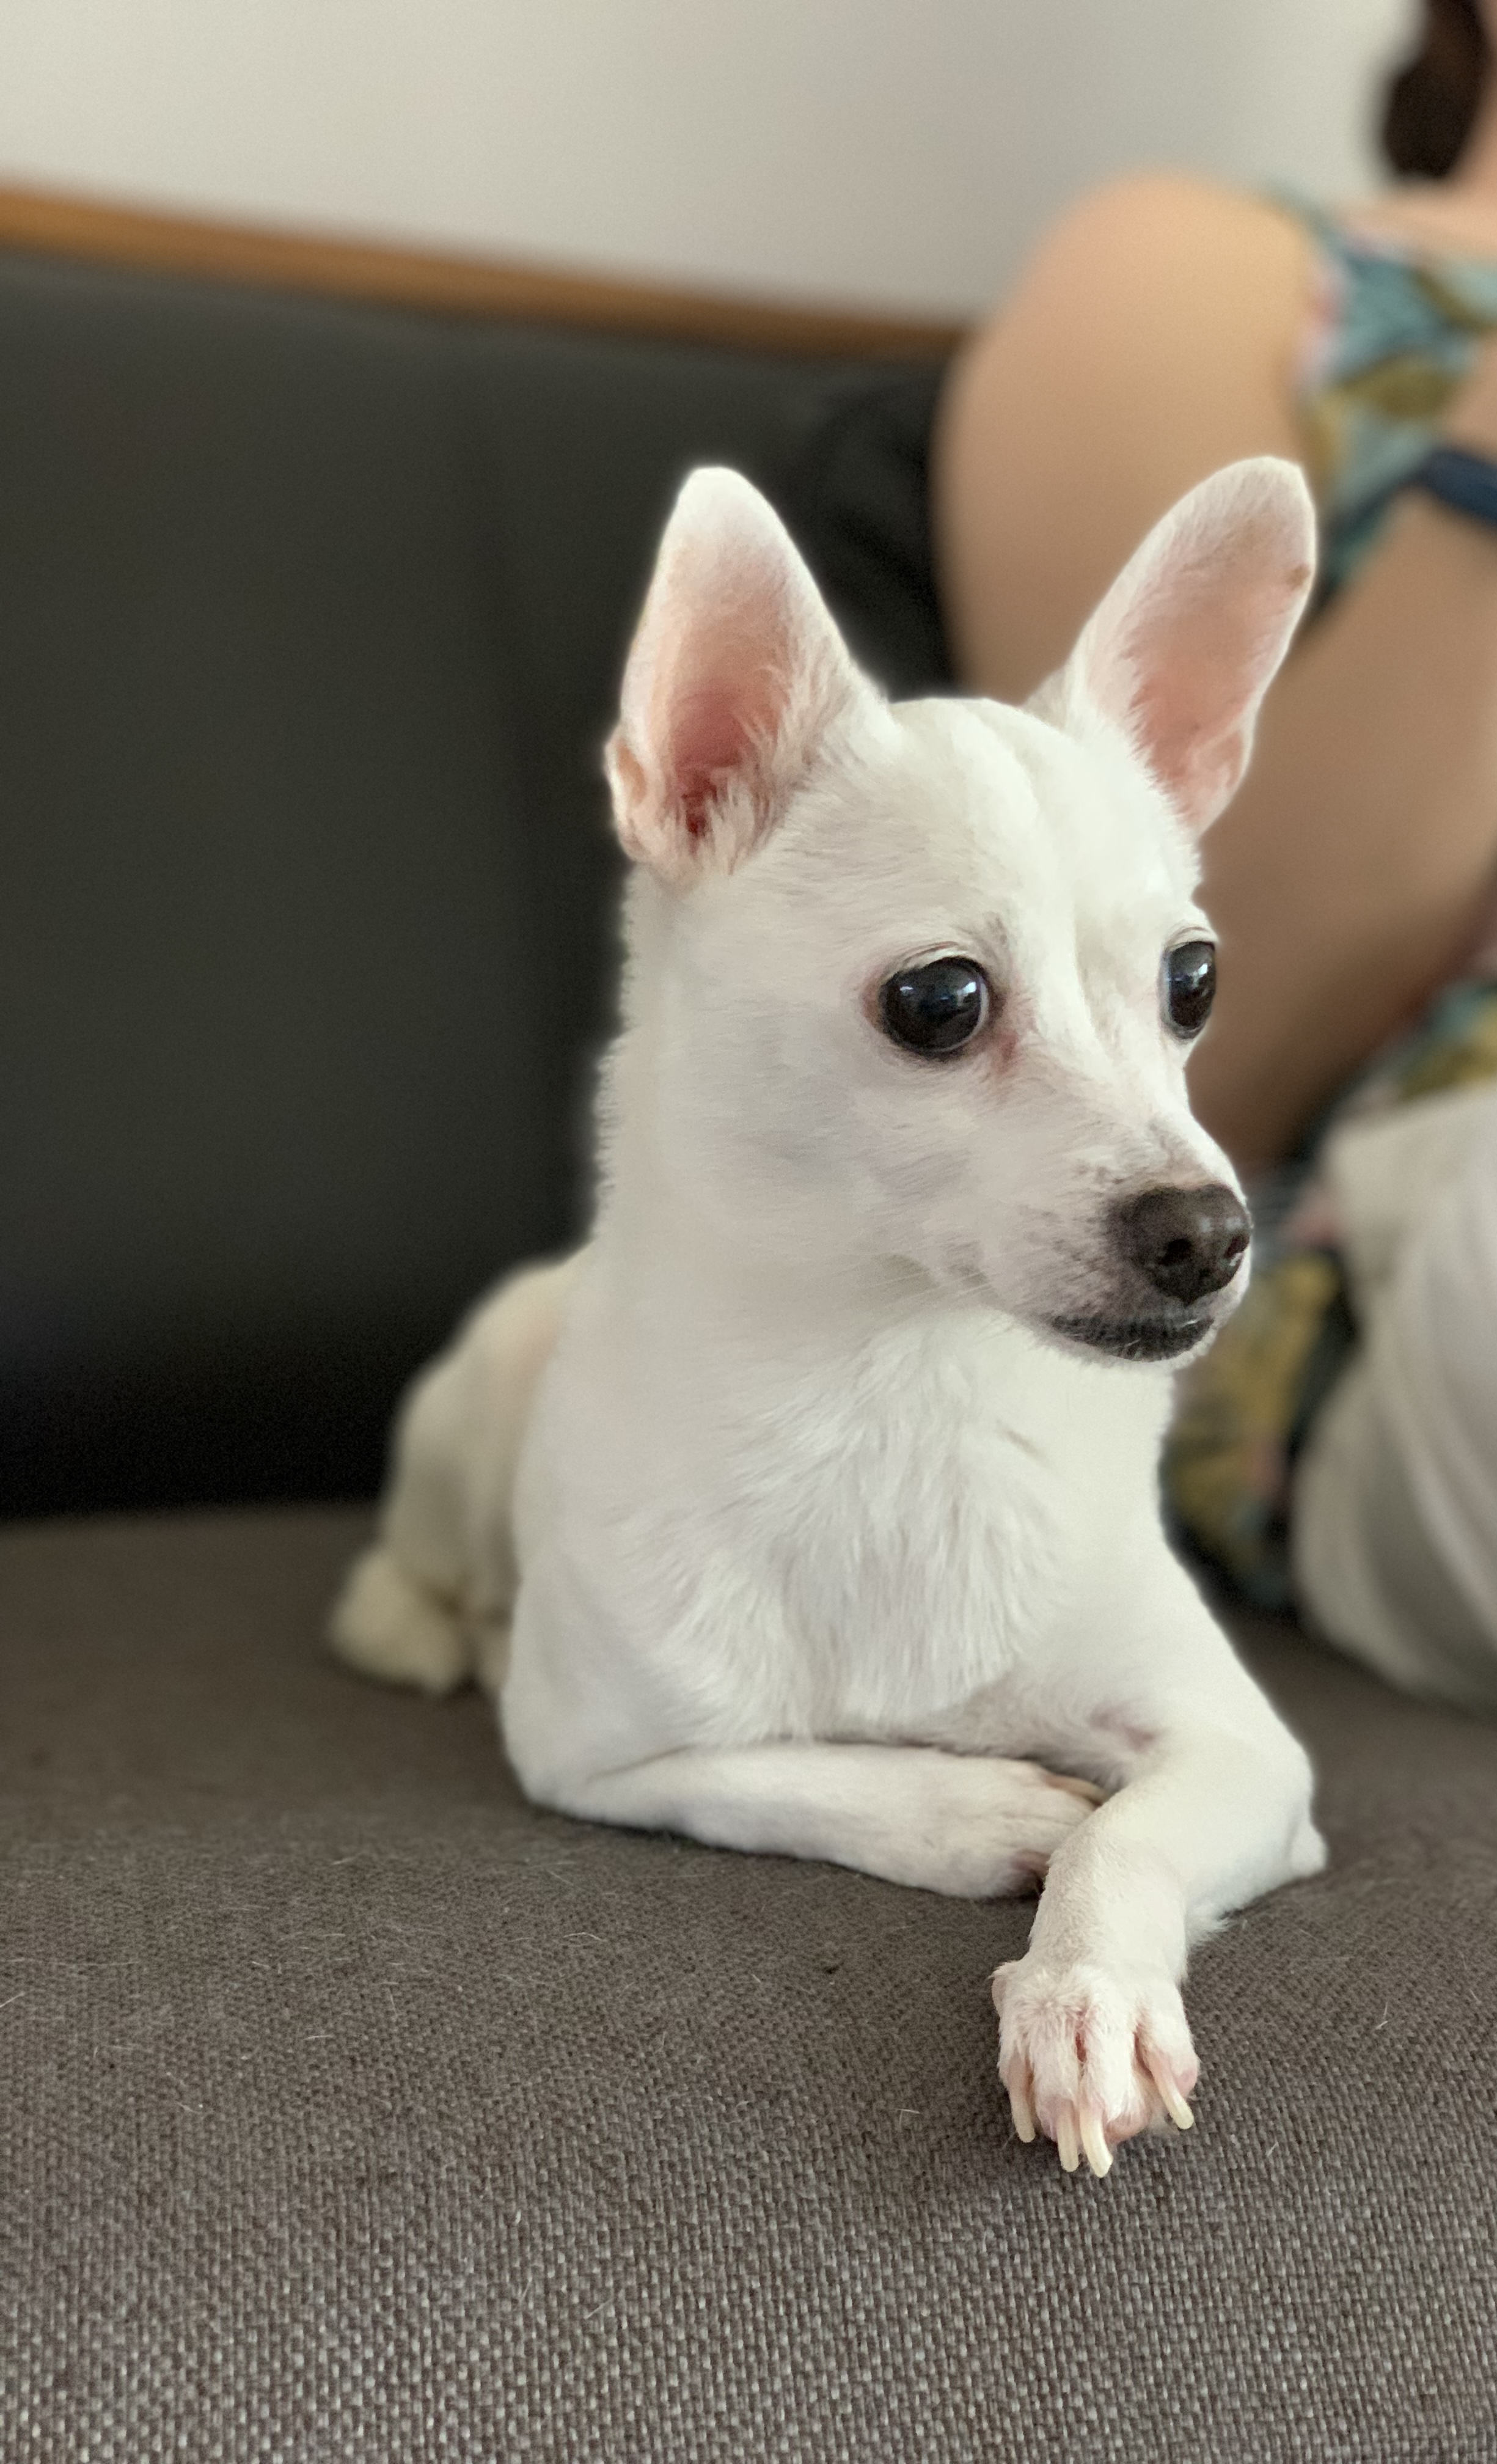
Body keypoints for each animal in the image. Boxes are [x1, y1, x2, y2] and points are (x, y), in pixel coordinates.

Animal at [331, 457, 1325, 2178]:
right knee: (409, 1587)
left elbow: (1126, 1843)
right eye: (940, 1003)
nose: (1209, 1232)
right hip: (464, 1443)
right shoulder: (599, 1761)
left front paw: (1083, 1992)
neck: (891, 1389)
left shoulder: (1252, 1764)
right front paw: (980, 1809)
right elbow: (783, 1776)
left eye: (1192, 984)